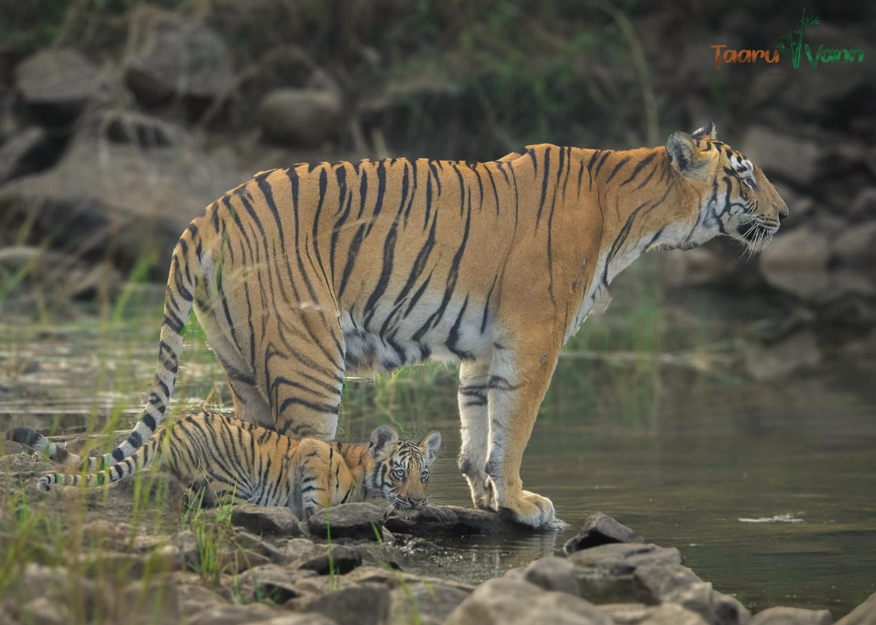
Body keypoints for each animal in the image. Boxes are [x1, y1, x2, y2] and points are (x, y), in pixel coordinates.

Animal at [60, 124, 788, 528]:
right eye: (746, 176)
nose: (785, 214)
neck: (637, 218)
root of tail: (205, 213)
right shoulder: (535, 338)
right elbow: (513, 429)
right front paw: (522, 503)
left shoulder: (485, 347)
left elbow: (478, 427)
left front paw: (490, 499)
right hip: (307, 354)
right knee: (304, 450)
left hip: (240, 358)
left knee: (256, 444)